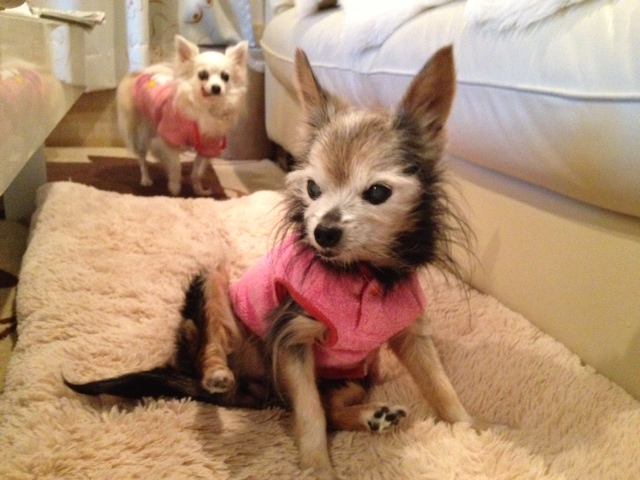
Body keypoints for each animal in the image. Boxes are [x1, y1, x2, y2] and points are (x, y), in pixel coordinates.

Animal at [117, 35, 248, 196]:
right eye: (202, 75)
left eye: (225, 77)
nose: (216, 88)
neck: (204, 107)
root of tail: (141, 75)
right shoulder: (170, 139)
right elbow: (176, 166)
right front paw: (175, 189)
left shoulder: (207, 146)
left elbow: (197, 172)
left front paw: (199, 190)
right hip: (144, 134)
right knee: (142, 158)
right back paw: (146, 179)